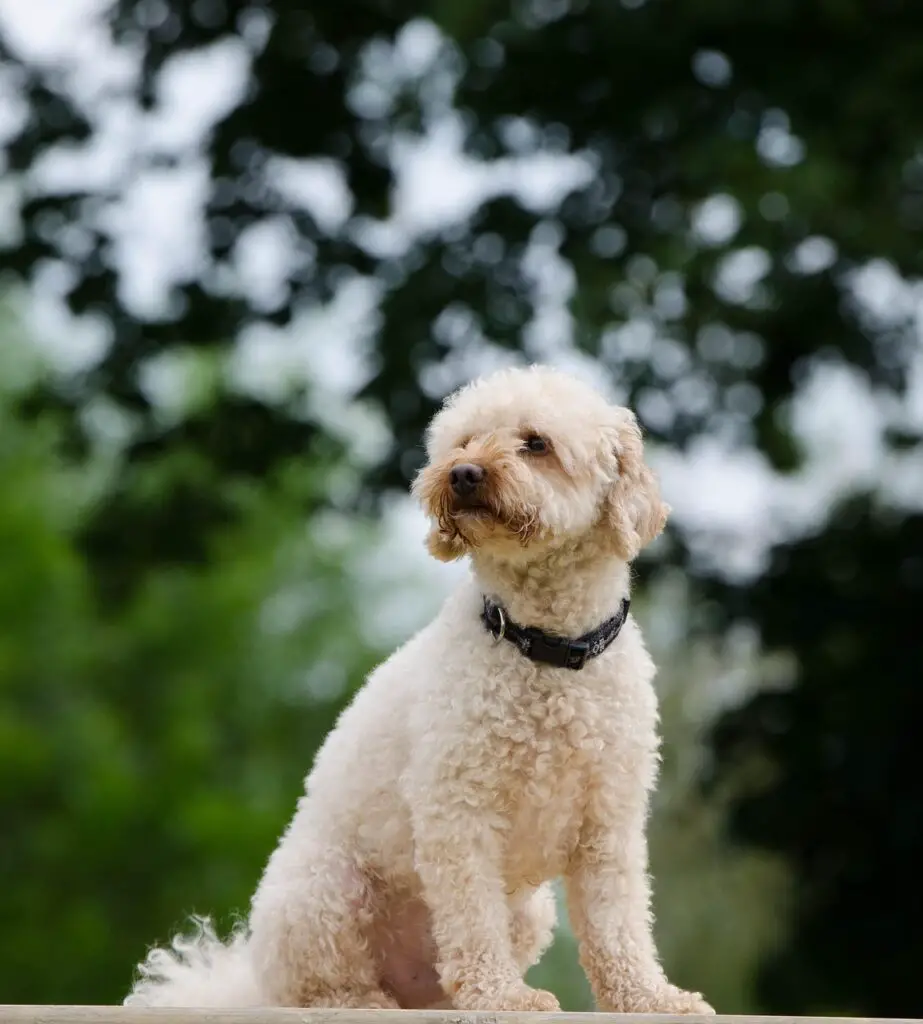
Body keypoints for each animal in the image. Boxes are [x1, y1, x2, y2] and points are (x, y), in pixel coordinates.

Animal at [124, 362, 712, 1015]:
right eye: (463, 441)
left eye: (536, 443)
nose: (463, 474)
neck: (548, 652)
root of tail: (252, 979)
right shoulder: (458, 810)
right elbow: (474, 921)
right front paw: (501, 996)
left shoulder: (608, 824)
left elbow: (619, 926)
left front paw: (651, 998)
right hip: (322, 895)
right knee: (322, 987)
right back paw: (365, 1002)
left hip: (526, 913)